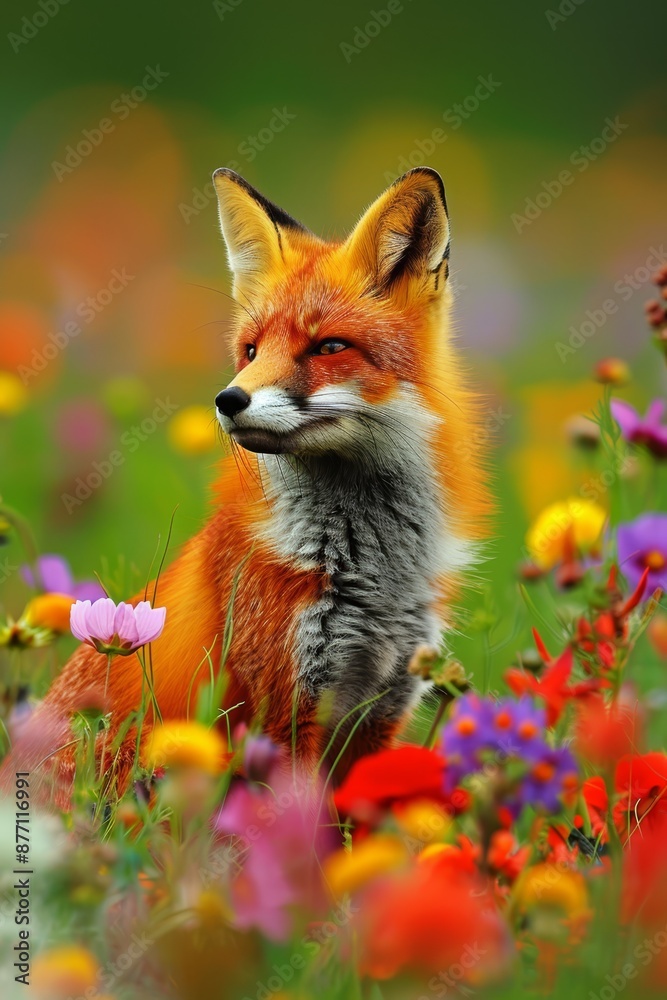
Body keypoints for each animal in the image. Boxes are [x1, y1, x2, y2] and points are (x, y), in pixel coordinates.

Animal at [17, 166, 489, 791]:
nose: (228, 399)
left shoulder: (378, 716)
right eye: (250, 350)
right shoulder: (283, 712)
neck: (368, 571)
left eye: (329, 346)